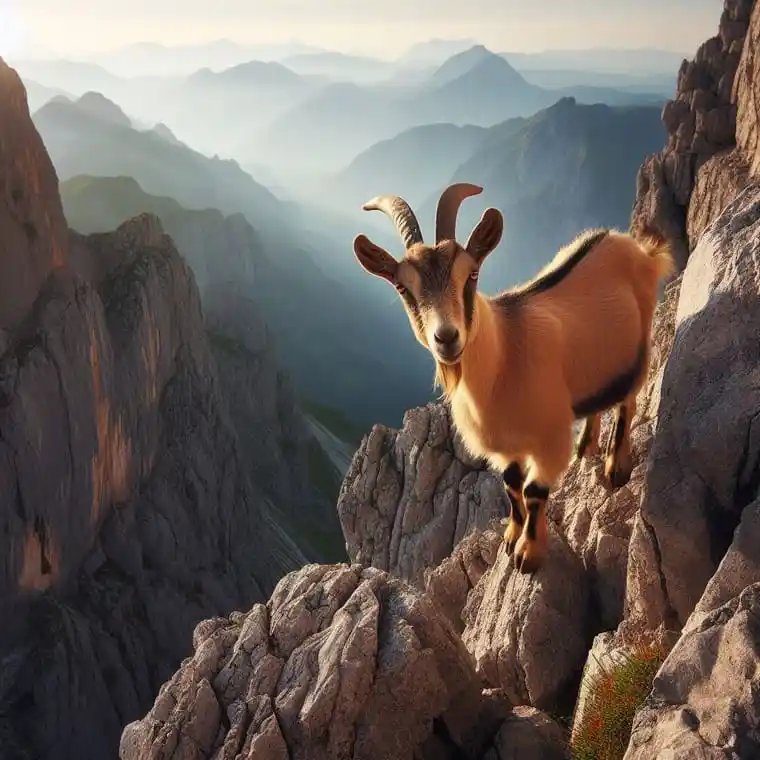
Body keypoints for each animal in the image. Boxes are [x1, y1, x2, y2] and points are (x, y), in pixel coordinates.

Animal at [352, 183, 675, 574]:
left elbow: (534, 490)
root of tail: (635, 247)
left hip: (638, 344)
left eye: (471, 275)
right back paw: (586, 445)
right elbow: (511, 485)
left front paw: (528, 554)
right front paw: (510, 536)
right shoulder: (505, 448)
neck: (504, 359)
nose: (447, 338)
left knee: (627, 400)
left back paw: (616, 466)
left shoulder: (548, 441)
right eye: (403, 288)